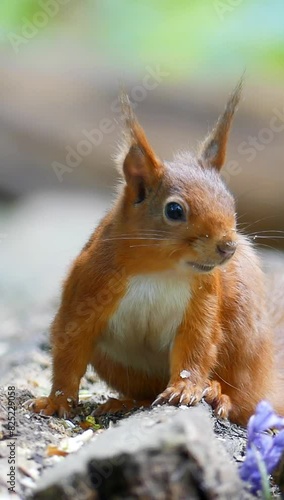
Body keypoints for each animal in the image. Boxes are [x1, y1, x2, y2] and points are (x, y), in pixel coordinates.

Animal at [28, 82, 284, 426]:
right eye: (174, 210)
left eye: (230, 201)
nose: (228, 246)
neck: (160, 270)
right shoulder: (87, 287)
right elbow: (70, 346)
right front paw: (56, 401)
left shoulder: (204, 298)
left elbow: (196, 346)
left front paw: (185, 388)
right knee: (146, 391)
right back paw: (125, 402)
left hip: (243, 341)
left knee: (245, 400)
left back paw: (219, 394)